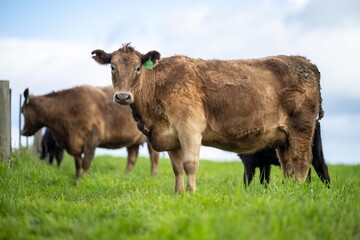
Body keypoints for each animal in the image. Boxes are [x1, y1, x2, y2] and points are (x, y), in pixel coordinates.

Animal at [20, 86, 159, 178]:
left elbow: (86, 162)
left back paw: (153, 175)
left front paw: (85, 179)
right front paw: (77, 178)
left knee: (154, 157)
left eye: (22, 111)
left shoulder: (92, 138)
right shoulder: (74, 144)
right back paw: (124, 176)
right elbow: (78, 163)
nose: (22, 131)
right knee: (132, 159)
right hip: (133, 141)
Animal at [92, 43, 324, 193]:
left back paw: (298, 191)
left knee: (302, 160)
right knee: (287, 165)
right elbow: (177, 168)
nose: (123, 96)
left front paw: (192, 193)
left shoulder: (189, 128)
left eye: (138, 68)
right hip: (283, 137)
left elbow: (190, 164)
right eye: (112, 67)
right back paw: (288, 190)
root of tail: (305, 61)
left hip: (302, 127)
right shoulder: (171, 136)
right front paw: (179, 194)